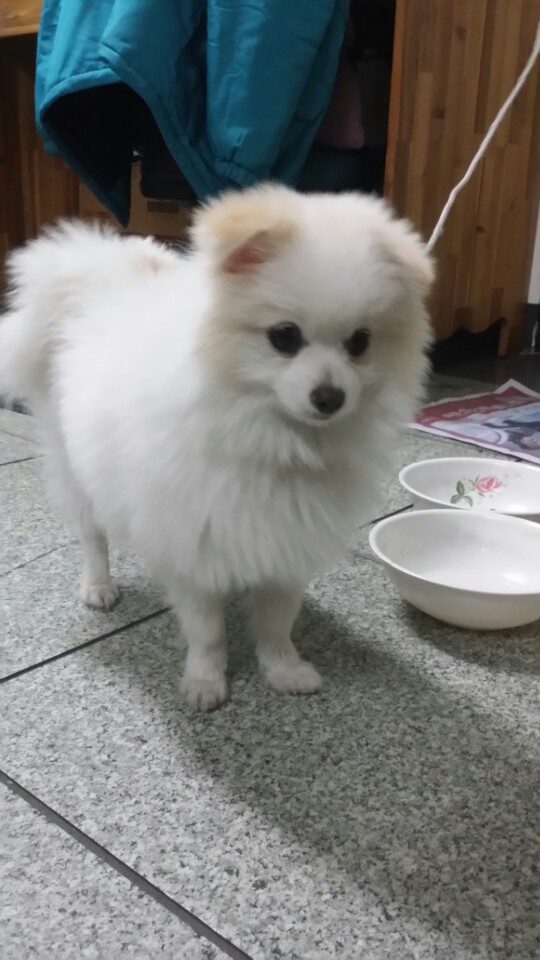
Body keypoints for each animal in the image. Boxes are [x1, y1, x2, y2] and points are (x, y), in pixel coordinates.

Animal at [0, 185, 433, 709]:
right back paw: (99, 586)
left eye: (360, 342)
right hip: (76, 472)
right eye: (284, 336)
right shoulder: (190, 541)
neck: (271, 439)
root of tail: (95, 285)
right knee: (93, 537)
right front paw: (206, 680)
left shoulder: (290, 539)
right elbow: (207, 629)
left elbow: (277, 621)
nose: (330, 397)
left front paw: (283, 669)